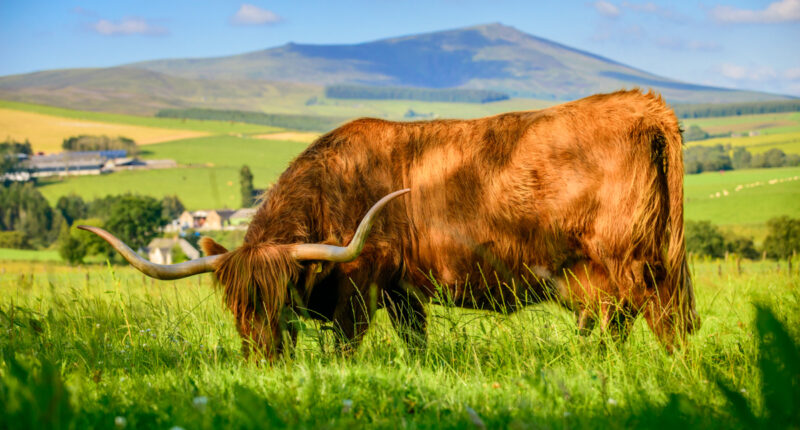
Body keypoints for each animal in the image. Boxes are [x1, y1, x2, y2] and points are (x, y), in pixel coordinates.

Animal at [81, 90, 700, 360]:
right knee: (618, 322)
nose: (262, 358)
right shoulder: (404, 289)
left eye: (279, 297)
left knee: (660, 320)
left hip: (631, 261)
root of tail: (642, 103)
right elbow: (415, 339)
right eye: (234, 302)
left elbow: (347, 344)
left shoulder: (362, 283)